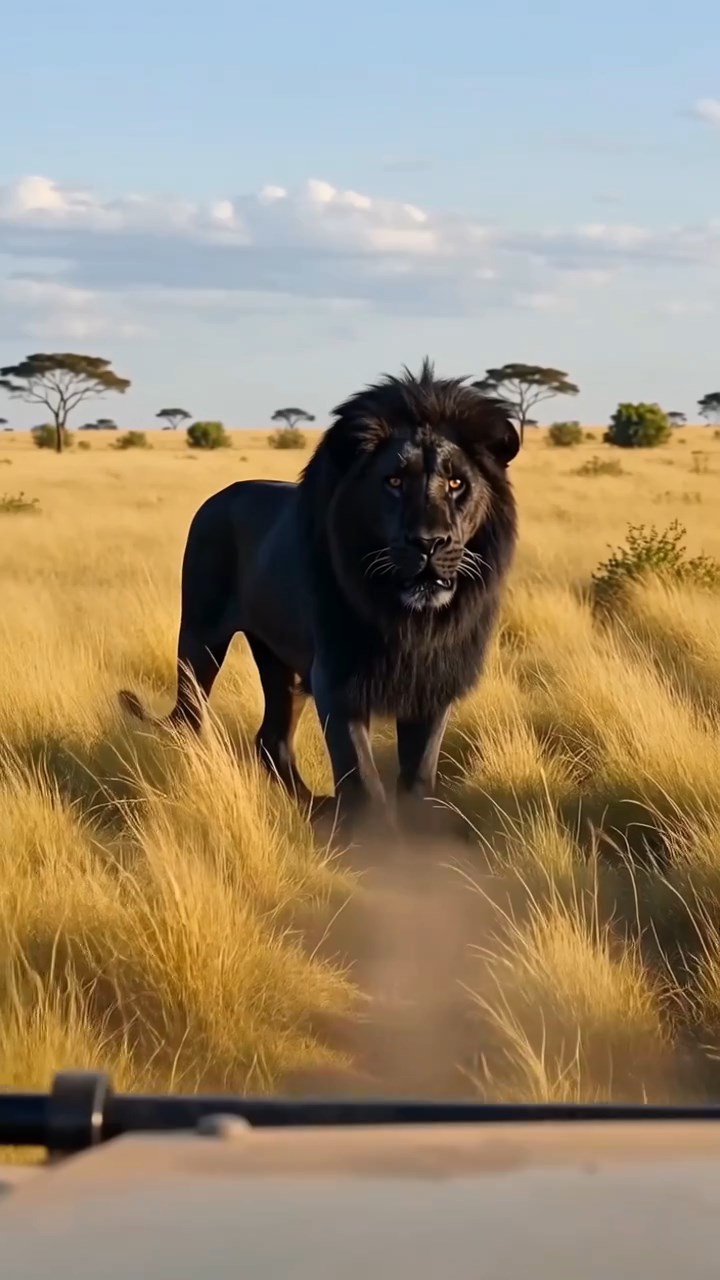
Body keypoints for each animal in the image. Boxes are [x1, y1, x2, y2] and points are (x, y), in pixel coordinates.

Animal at [119, 359, 520, 833]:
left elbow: (418, 777)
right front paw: (376, 841)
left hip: (280, 663)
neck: (406, 618)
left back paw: (317, 810)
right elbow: (363, 780)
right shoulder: (336, 678)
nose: (428, 542)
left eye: (457, 482)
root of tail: (220, 496)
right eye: (394, 481)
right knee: (191, 720)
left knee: (271, 739)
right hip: (201, 637)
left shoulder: (433, 685)